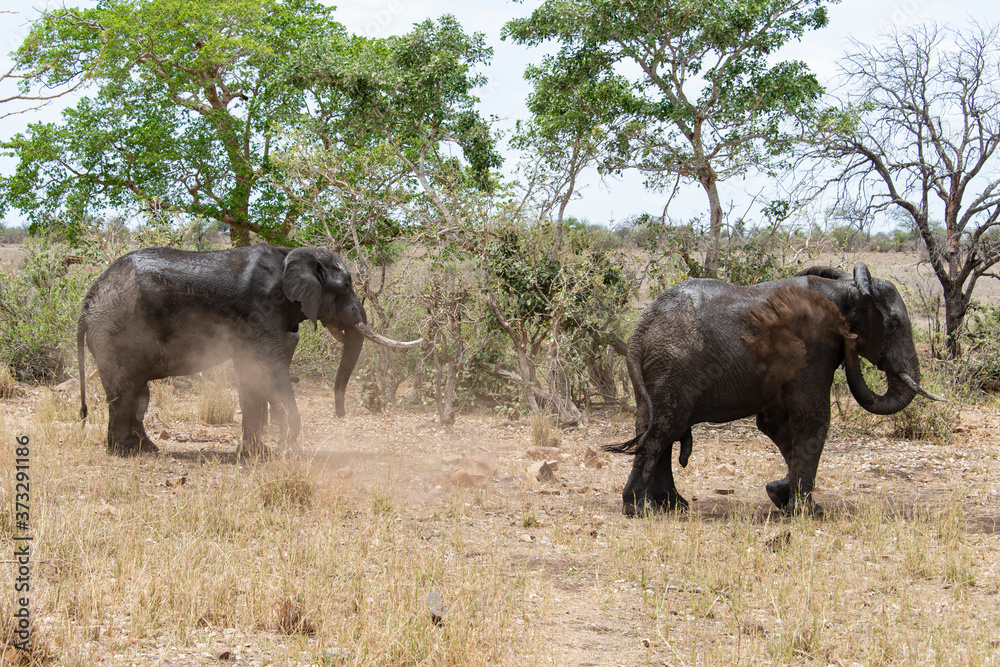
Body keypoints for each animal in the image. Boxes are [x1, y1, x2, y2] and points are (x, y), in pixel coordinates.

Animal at [77, 244, 421, 456]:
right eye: (346, 286)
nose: (341, 415)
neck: (291, 253)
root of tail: (87, 302)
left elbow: (251, 375)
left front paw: (256, 455)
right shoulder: (261, 310)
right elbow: (269, 369)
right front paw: (289, 453)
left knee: (138, 393)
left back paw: (146, 449)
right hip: (115, 331)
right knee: (124, 389)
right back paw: (125, 453)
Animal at [607, 263, 945, 517]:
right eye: (894, 324)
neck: (847, 288)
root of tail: (639, 331)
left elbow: (776, 425)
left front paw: (779, 496)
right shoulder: (814, 348)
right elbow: (813, 419)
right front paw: (807, 513)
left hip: (660, 371)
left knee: (655, 427)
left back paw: (671, 506)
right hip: (673, 366)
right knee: (663, 429)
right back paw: (640, 510)